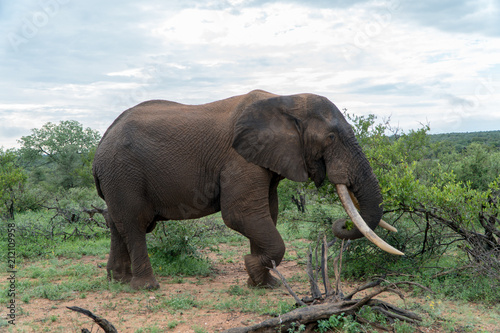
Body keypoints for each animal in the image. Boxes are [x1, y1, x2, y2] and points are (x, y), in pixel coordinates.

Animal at [94, 89, 402, 290]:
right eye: (331, 137)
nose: (340, 223)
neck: (287, 99)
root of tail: (100, 145)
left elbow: (268, 213)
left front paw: (263, 284)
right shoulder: (240, 158)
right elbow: (241, 215)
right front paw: (252, 267)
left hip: (117, 176)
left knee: (117, 222)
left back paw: (118, 280)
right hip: (123, 172)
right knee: (135, 224)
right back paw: (147, 287)